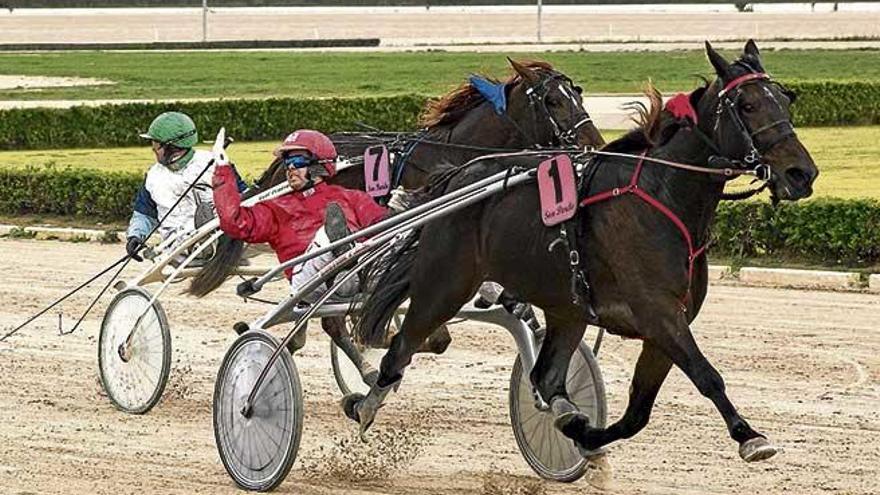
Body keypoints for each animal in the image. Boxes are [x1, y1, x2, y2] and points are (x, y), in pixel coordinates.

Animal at [348, 39, 820, 476]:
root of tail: (457, 177)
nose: (802, 173)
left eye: (785, 99)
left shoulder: (666, 323)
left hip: (567, 308)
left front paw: (583, 432)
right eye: (747, 104)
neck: (663, 194)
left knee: (545, 376)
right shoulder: (659, 314)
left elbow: (636, 413)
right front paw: (750, 436)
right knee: (400, 348)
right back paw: (365, 404)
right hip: (444, 283)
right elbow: (706, 375)